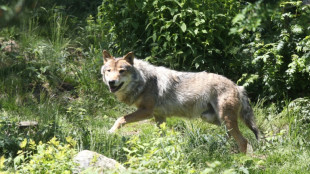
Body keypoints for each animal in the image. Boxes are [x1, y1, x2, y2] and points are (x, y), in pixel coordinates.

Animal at [101, 50, 260, 152]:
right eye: (109, 71)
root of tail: (238, 86)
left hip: (224, 119)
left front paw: (109, 132)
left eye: (121, 71)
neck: (143, 81)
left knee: (243, 141)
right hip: (212, 118)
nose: (111, 82)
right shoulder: (159, 116)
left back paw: (240, 161)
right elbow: (161, 136)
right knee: (231, 137)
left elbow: (121, 119)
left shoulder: (146, 111)